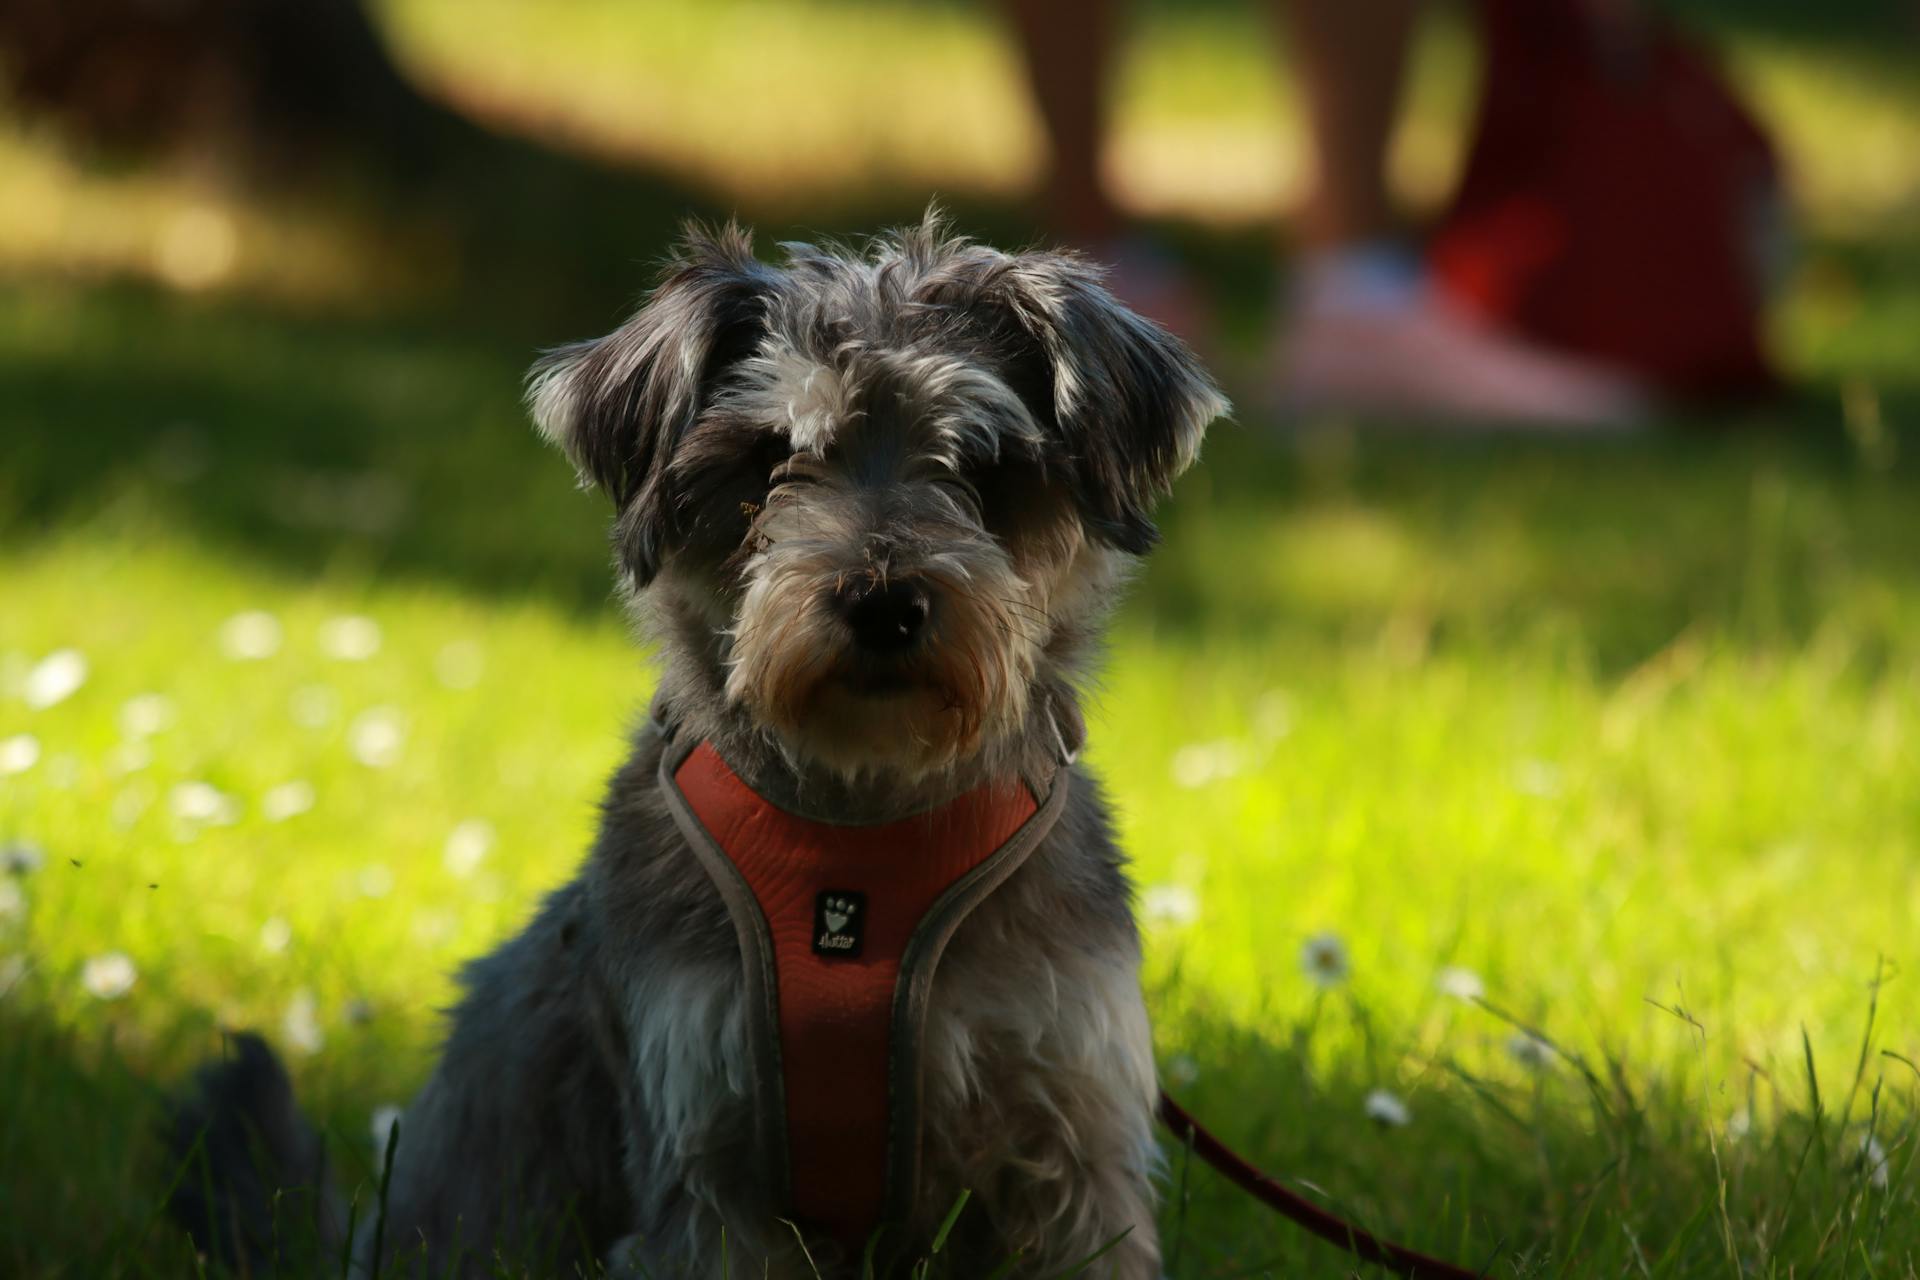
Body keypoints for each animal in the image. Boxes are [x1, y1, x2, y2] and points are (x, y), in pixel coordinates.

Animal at [168, 214, 1228, 1274]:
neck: (862, 823)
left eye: (983, 464)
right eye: (768, 461)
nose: (883, 603)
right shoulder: (708, 1160)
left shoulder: (1072, 1125)